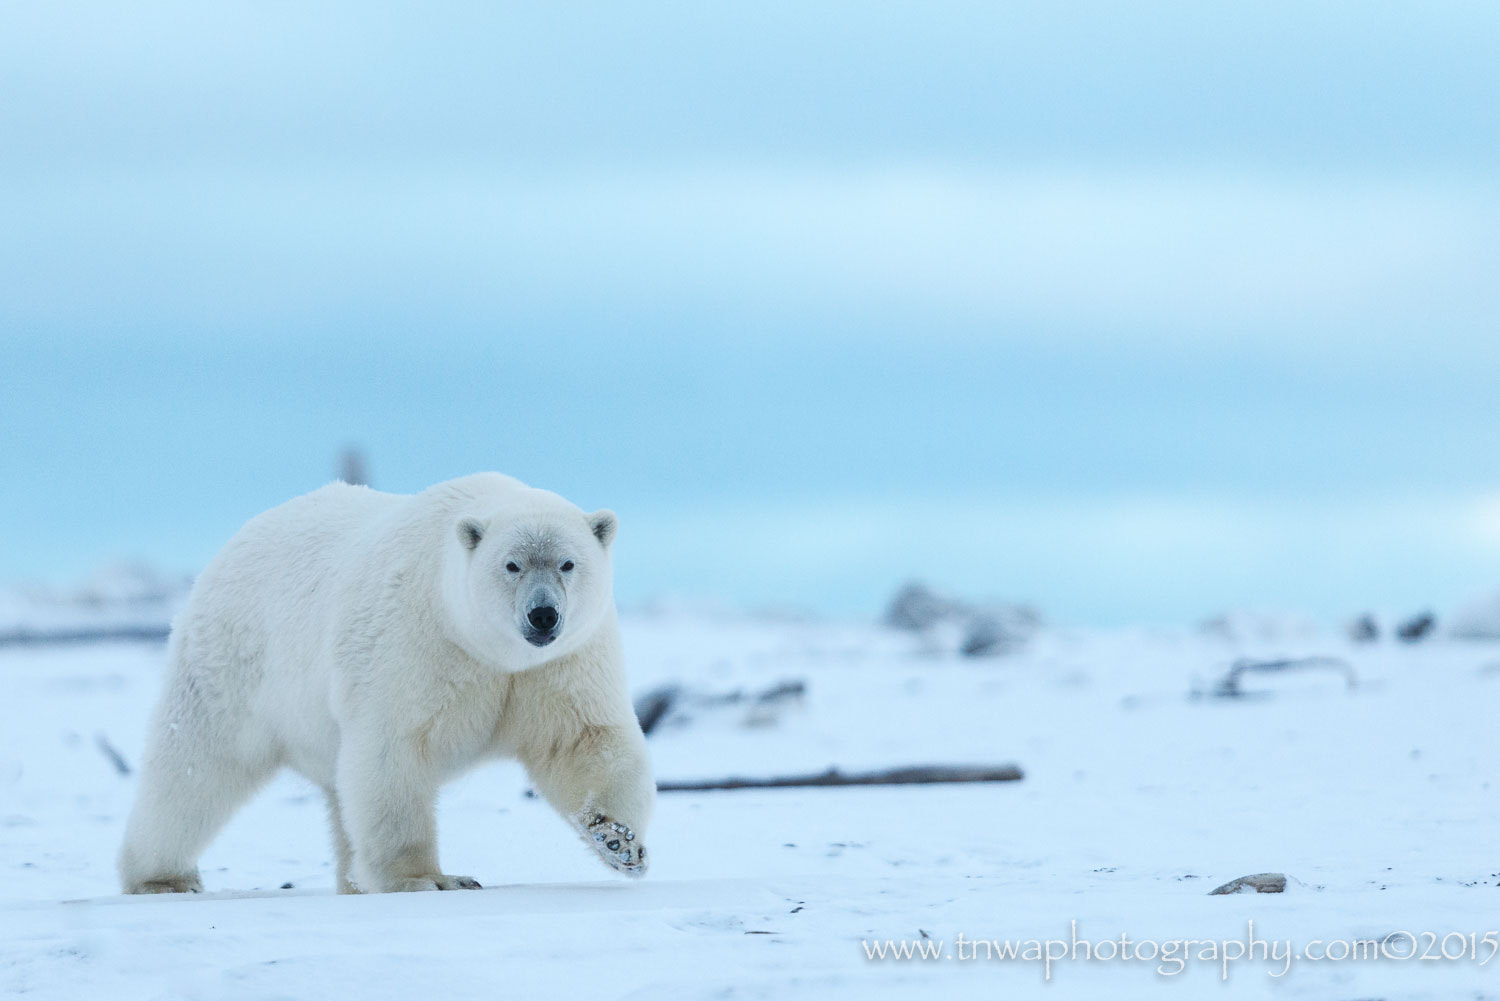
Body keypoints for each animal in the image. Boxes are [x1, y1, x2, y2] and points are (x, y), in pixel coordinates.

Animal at [117, 474, 657, 894]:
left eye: (567, 563)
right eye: (512, 564)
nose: (543, 615)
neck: (486, 646)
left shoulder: (558, 664)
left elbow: (582, 739)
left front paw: (619, 841)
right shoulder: (417, 641)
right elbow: (394, 751)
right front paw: (427, 878)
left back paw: (352, 882)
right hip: (233, 663)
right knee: (197, 766)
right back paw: (162, 877)